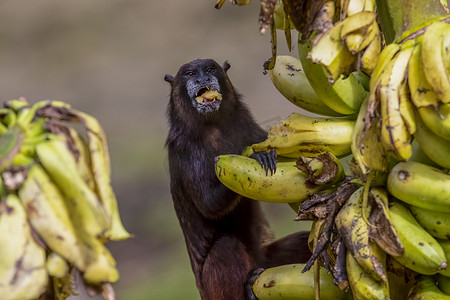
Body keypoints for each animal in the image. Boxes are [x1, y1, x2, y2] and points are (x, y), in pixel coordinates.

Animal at [166, 58, 312, 300]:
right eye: (189, 74)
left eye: (210, 69)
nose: (202, 79)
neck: (212, 125)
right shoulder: (185, 150)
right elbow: (209, 204)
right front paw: (253, 156)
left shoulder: (246, 125)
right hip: (211, 291)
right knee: (225, 248)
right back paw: (248, 289)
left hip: (268, 263)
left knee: (302, 242)